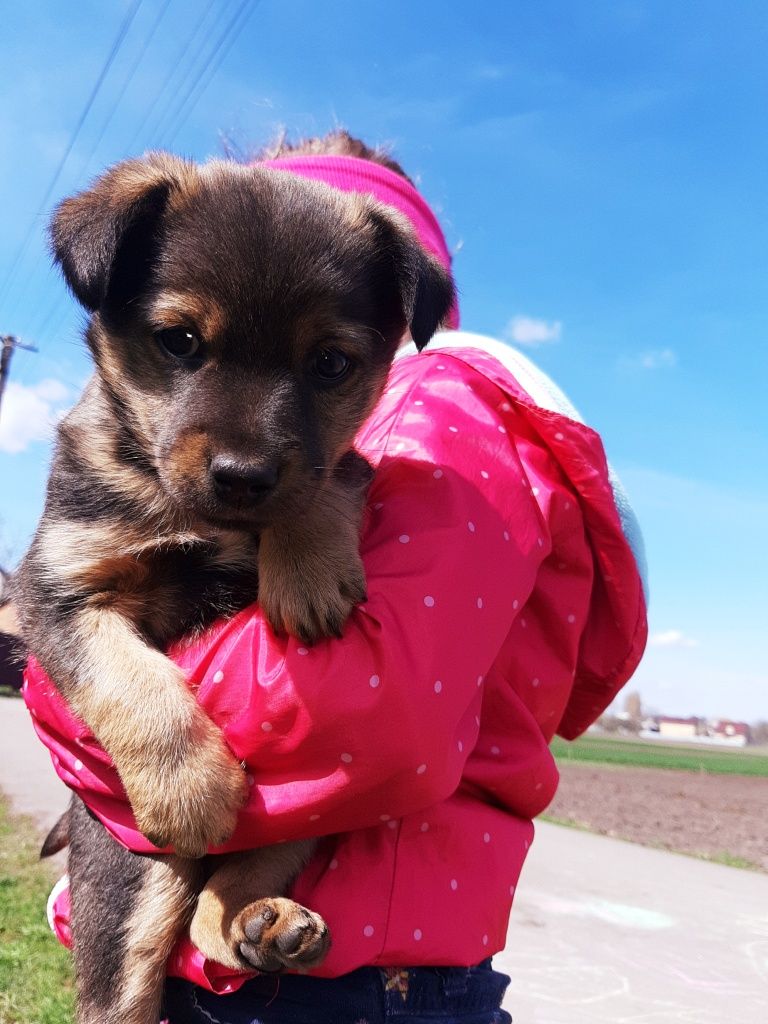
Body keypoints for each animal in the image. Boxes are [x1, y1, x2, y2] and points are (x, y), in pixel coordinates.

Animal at [15, 138, 454, 1024]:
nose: (243, 477)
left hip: (315, 812)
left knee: (226, 898)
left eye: (331, 364)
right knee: (133, 974)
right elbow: (126, 678)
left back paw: (263, 924)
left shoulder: (334, 464)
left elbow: (327, 479)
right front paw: (189, 787)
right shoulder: (60, 587)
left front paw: (308, 568)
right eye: (180, 341)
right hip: (127, 876)